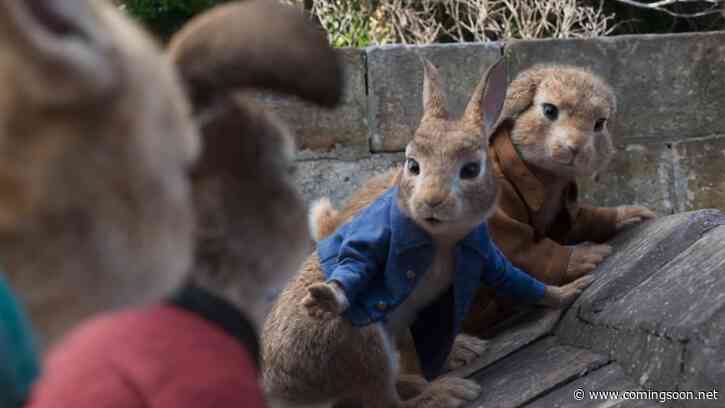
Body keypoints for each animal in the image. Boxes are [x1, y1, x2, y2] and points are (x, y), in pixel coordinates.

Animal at [262, 58, 594, 408]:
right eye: (412, 165)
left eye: (471, 170)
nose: (432, 200)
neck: (440, 237)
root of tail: (282, 390)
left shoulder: (484, 253)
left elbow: (515, 278)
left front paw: (570, 291)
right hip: (361, 342)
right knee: (384, 399)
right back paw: (447, 391)